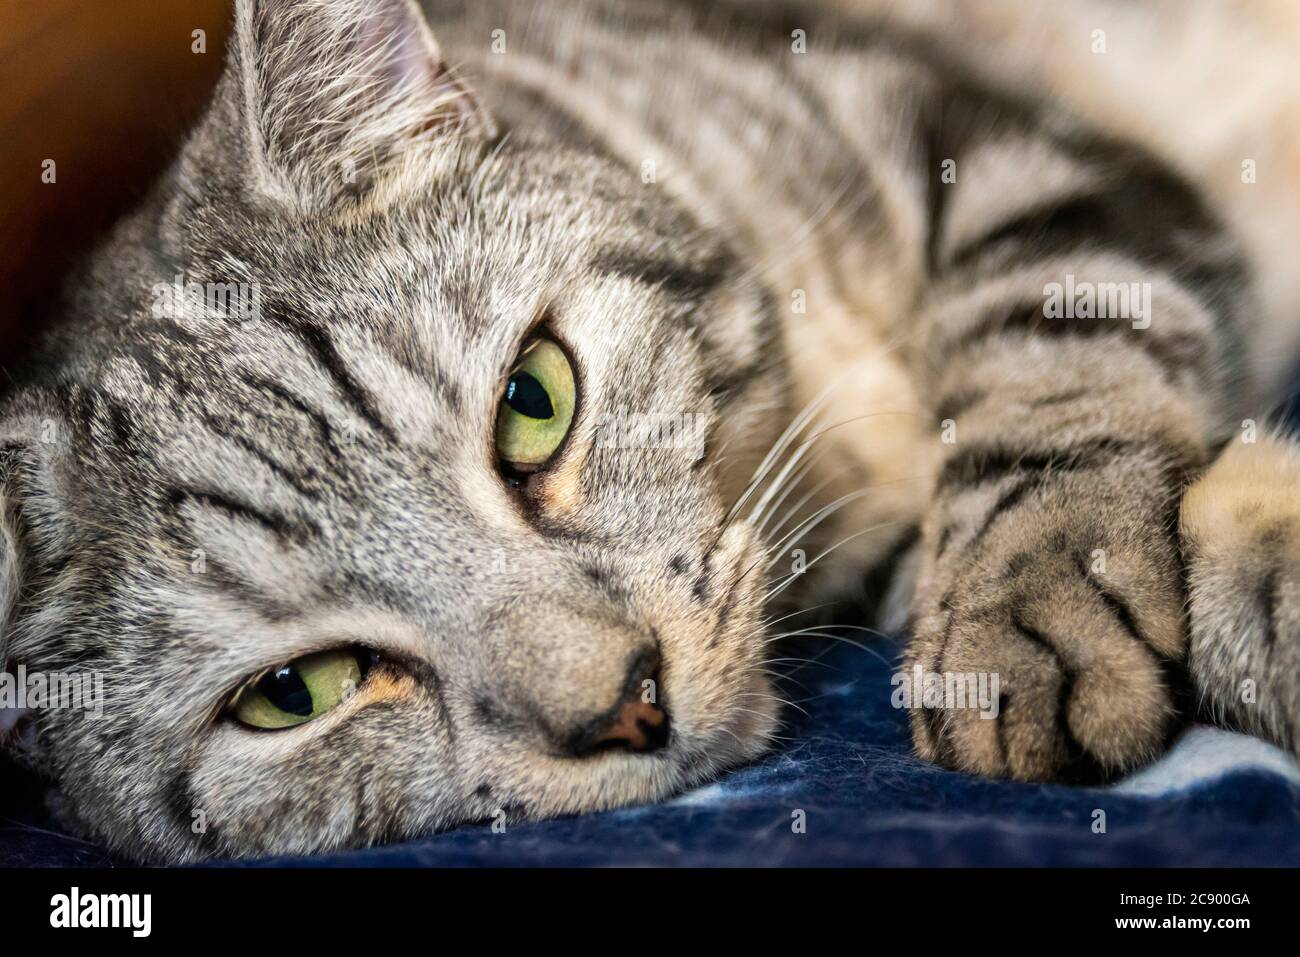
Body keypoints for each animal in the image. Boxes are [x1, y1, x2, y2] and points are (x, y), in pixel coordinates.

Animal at [0, 0, 1294, 863]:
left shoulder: (993, 145)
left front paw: (1030, 599)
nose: (626, 700)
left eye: (533, 400)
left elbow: (1046, 347)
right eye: (294, 693)